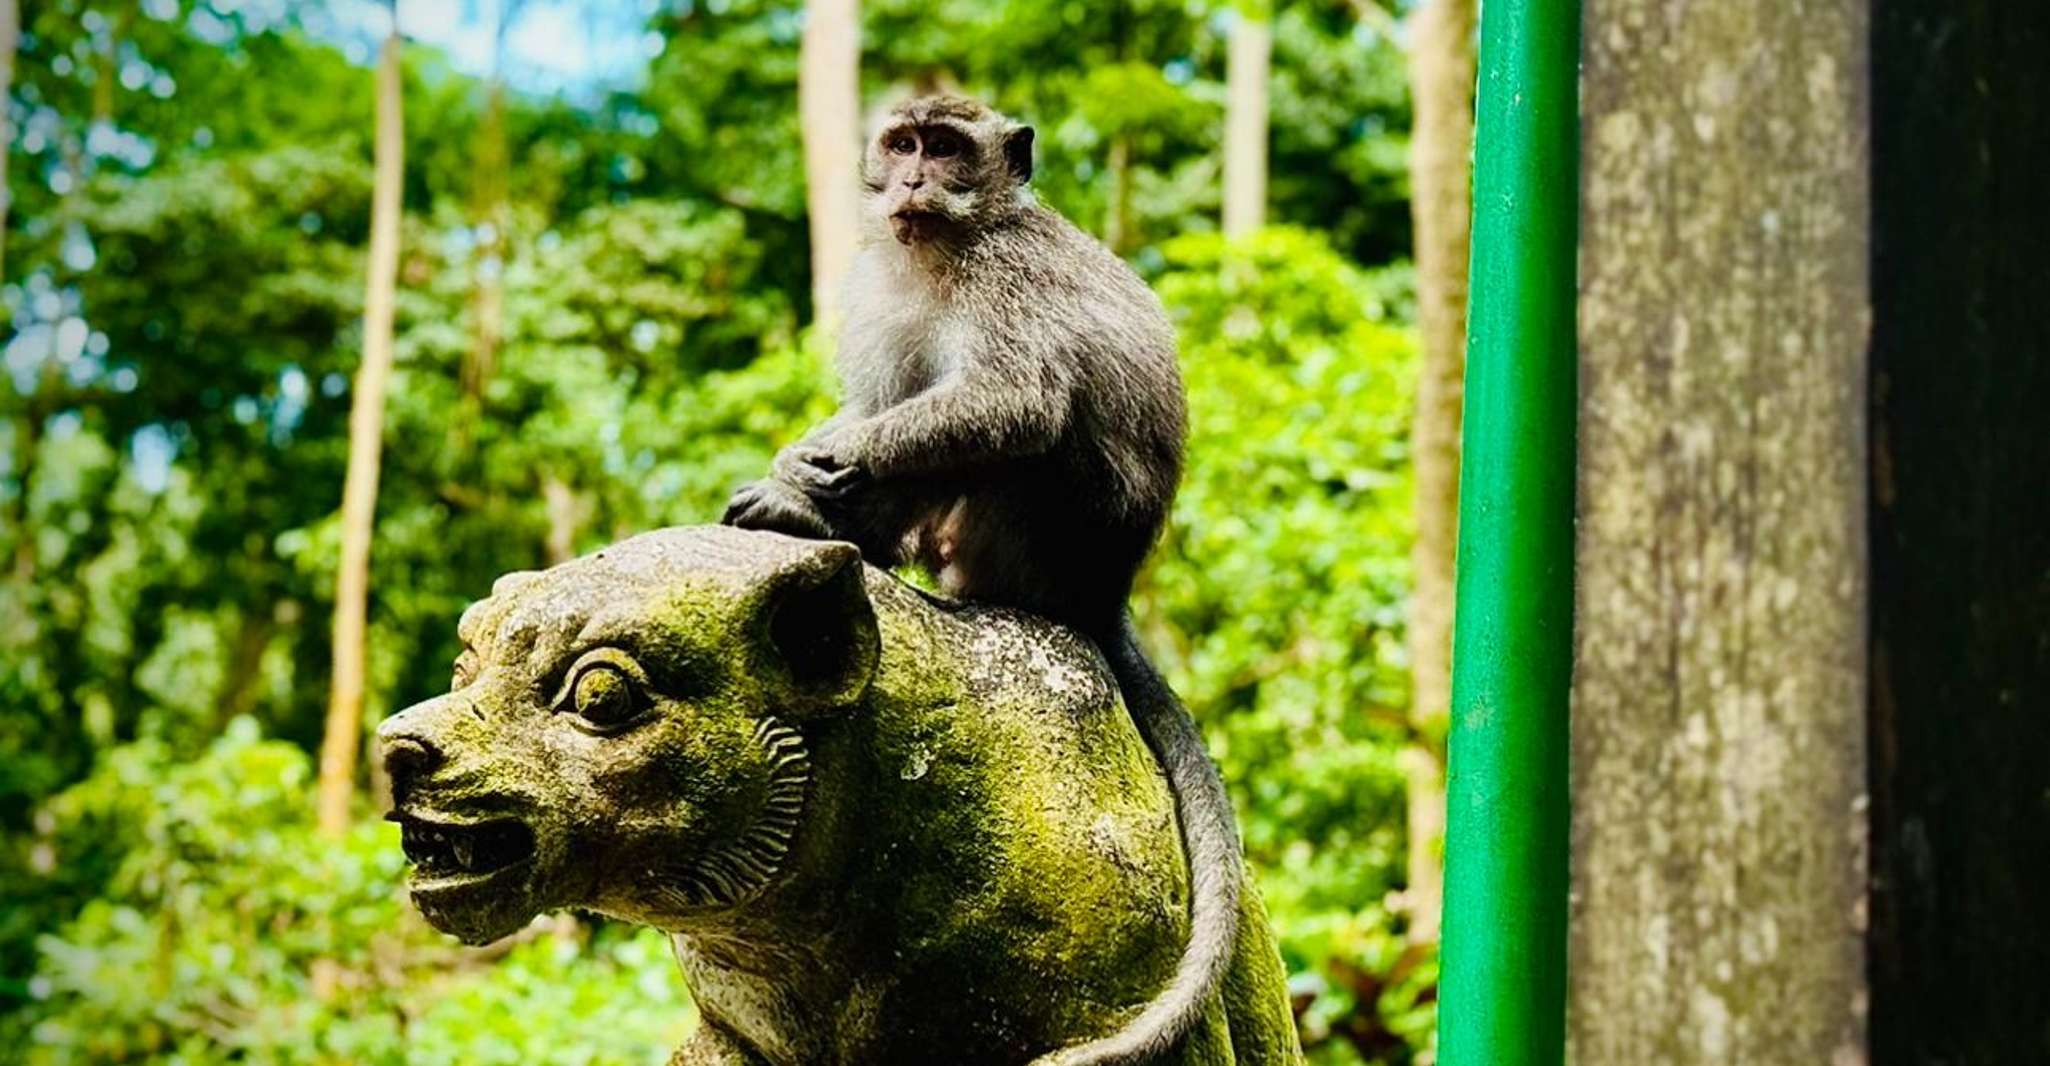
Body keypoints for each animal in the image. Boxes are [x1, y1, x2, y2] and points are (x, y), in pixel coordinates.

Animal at [722, 95, 1245, 1065]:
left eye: (947, 148)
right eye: (903, 143)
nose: (913, 179)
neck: (945, 250)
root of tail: (1104, 596)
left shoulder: (1007, 281)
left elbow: (1014, 402)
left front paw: (827, 461)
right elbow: (882, 392)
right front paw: (807, 457)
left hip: (1045, 533)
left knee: (1019, 438)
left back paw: (820, 514)